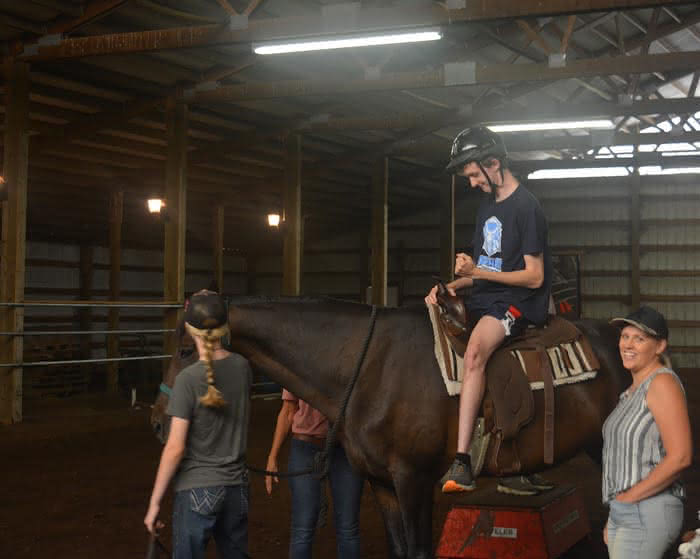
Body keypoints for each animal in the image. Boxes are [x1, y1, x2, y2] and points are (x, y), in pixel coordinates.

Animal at [152, 300, 628, 559]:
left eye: (184, 350)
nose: (158, 418)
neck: (369, 366)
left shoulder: (413, 480)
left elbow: (417, 550)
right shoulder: (381, 483)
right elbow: (399, 549)